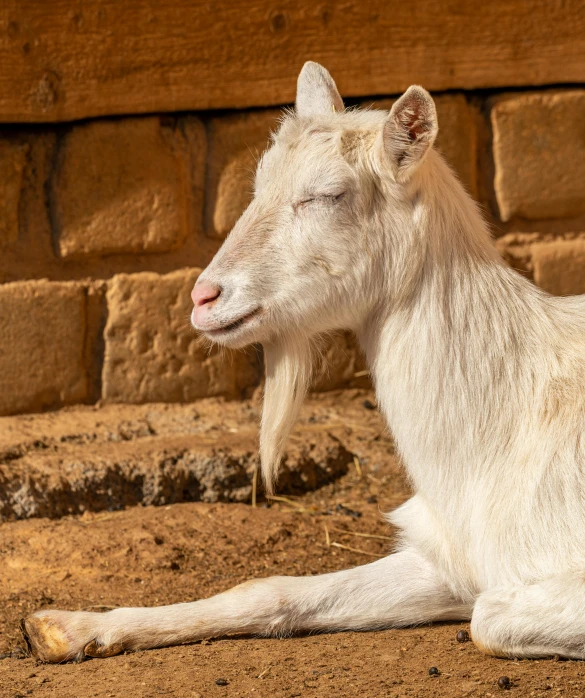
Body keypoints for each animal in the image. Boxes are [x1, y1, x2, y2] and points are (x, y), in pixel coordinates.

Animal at [20, 62, 584, 660]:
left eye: (329, 194)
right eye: (259, 183)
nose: (204, 298)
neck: (510, 415)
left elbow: (488, 618)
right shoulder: (447, 558)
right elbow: (269, 588)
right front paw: (66, 628)